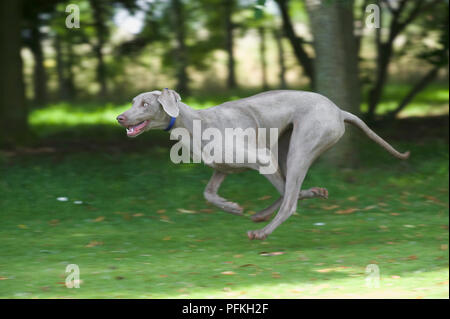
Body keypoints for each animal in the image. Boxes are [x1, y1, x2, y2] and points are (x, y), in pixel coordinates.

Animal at [115, 89, 408, 241]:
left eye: (145, 103)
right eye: (132, 102)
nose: (119, 117)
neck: (194, 123)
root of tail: (339, 110)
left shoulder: (262, 157)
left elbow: (289, 192)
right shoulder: (222, 167)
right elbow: (208, 193)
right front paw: (231, 207)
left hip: (299, 147)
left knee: (289, 200)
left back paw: (262, 230)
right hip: (284, 145)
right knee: (288, 190)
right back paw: (264, 214)